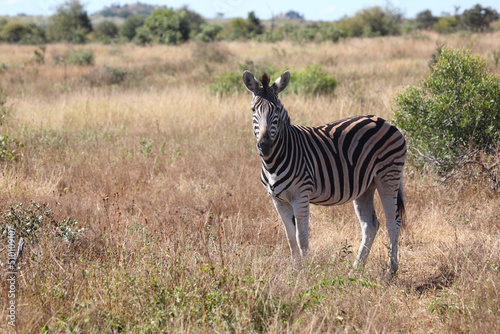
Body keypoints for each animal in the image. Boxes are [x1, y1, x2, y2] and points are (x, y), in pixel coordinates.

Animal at [242, 70, 406, 274]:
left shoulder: (301, 196)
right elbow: (290, 238)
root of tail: (385, 121)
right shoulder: (278, 200)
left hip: (388, 176)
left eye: (277, 110)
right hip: (366, 186)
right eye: (253, 110)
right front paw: (295, 270)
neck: (275, 160)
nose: (265, 146)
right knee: (371, 224)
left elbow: (302, 238)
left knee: (393, 222)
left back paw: (391, 270)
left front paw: (304, 273)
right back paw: (356, 269)